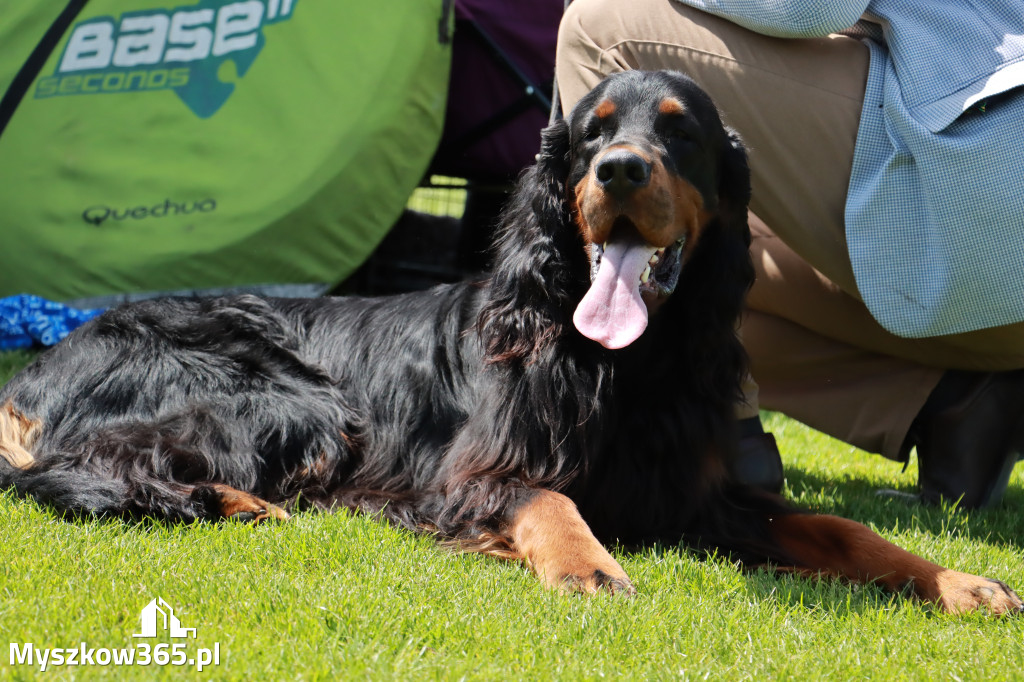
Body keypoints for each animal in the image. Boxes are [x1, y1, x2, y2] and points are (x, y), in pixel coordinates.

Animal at [0, 71, 1019, 614]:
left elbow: (841, 528)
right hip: (288, 395)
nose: (621, 172)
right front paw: (586, 566)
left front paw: (958, 581)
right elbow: (547, 498)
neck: (625, 363)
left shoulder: (697, 496)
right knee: (79, 469)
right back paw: (243, 504)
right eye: (592, 136)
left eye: (681, 134)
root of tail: (47, 360)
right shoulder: (467, 477)